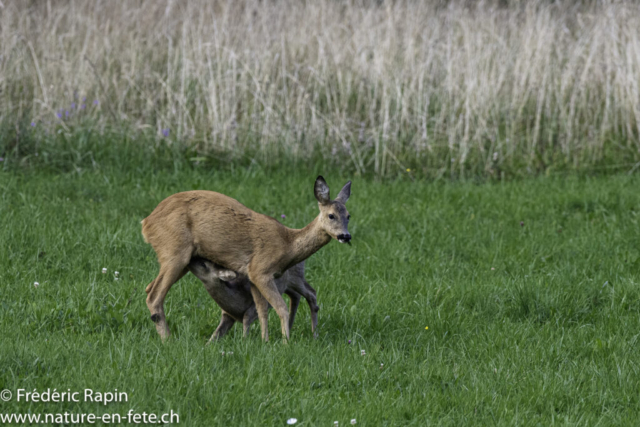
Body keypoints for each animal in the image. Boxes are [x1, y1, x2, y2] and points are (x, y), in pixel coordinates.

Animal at [141, 176, 352, 342]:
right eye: (331, 215)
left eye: (349, 215)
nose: (345, 236)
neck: (287, 244)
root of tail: (146, 223)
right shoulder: (261, 270)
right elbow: (280, 307)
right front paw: (285, 343)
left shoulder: (251, 275)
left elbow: (261, 309)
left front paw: (264, 341)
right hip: (174, 251)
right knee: (154, 296)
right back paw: (168, 340)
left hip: (181, 259)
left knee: (148, 288)